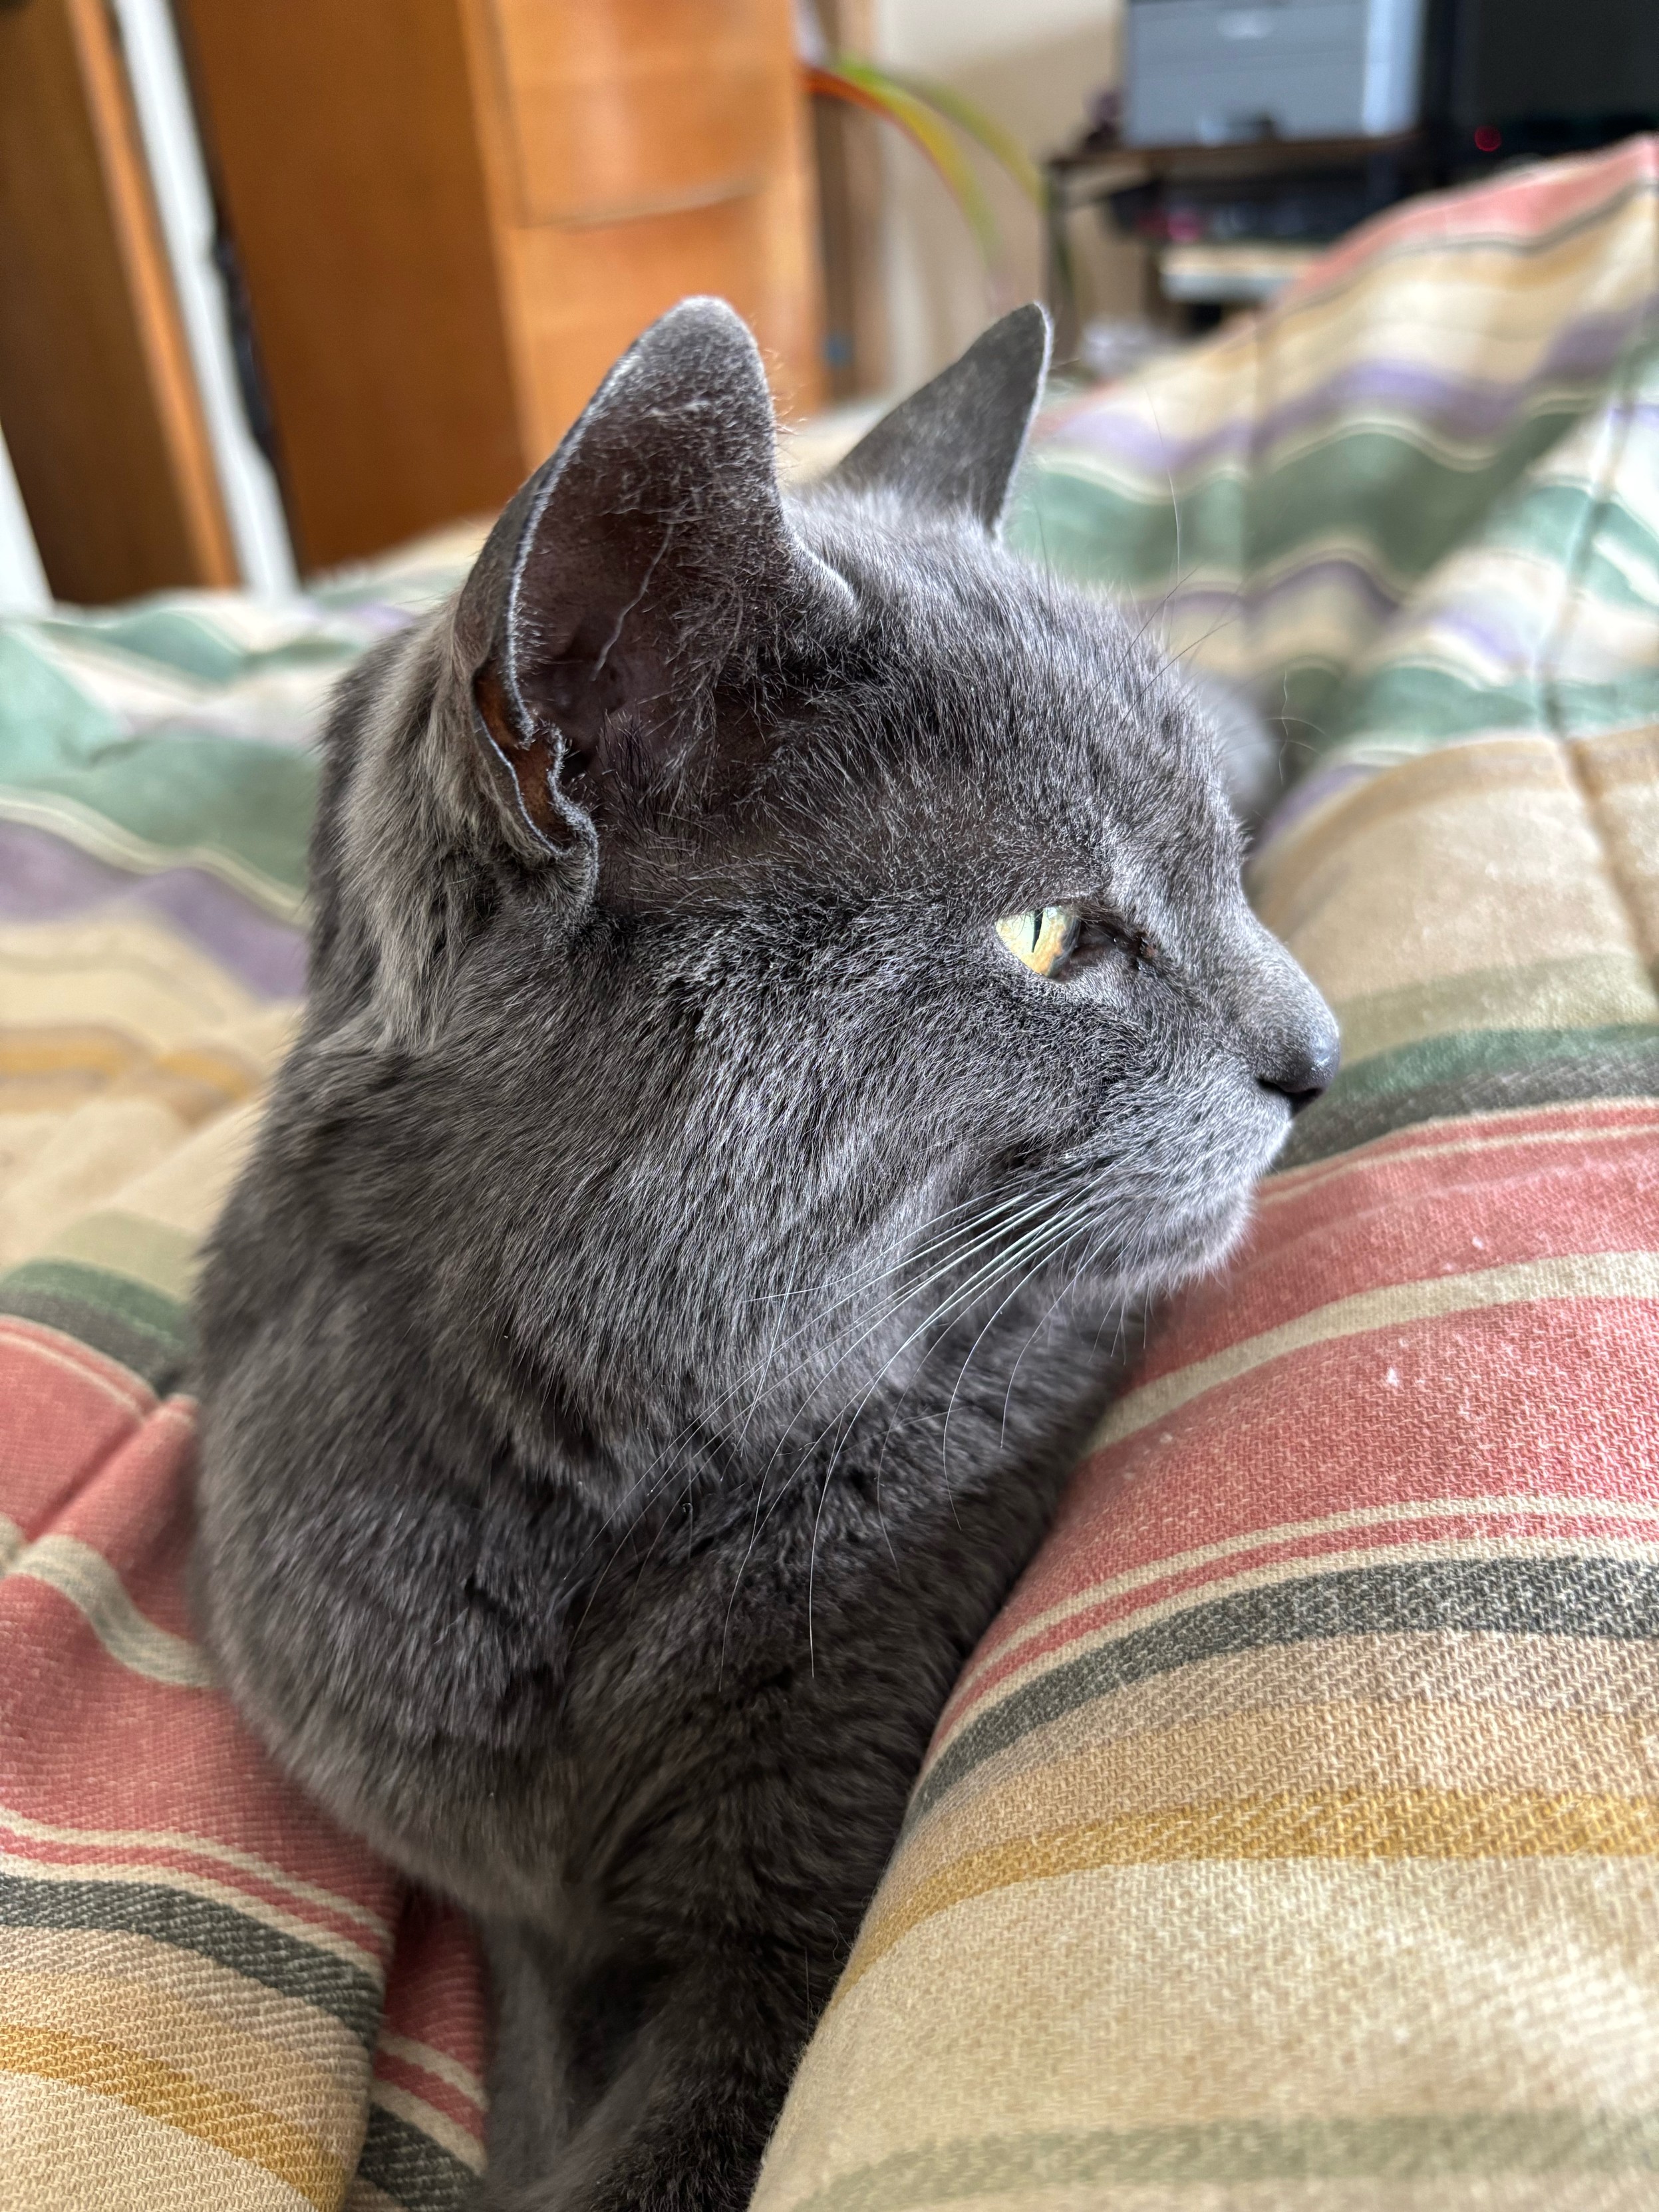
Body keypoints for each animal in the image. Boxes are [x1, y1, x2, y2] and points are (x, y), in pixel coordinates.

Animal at [191, 303, 1336, 2212]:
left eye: (1227, 874)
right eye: (1051, 935)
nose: (1319, 1052)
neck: (573, 1466)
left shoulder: (804, 1876)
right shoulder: (503, 1913)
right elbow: (527, 2101)